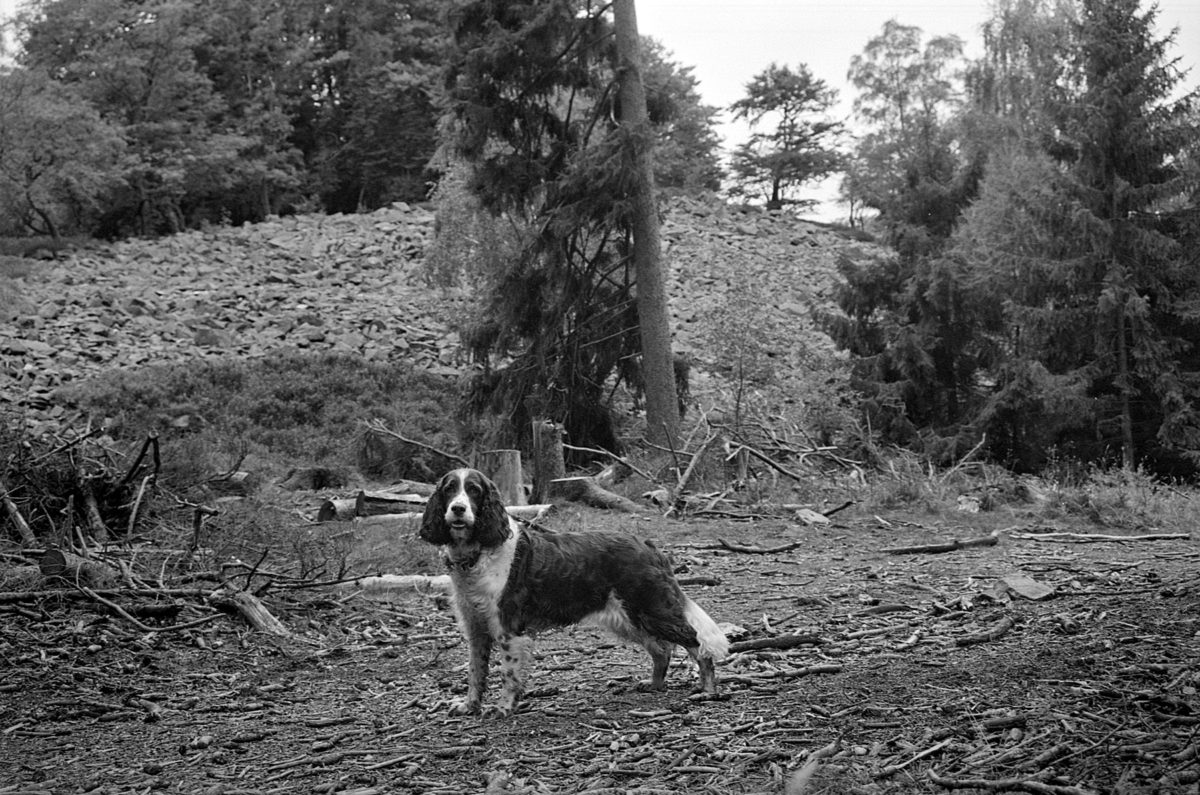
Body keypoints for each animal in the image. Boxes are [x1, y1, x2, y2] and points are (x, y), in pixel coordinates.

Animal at [417, 470, 724, 720]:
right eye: (449, 489)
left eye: (474, 490)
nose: (458, 509)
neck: (478, 553)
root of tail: (648, 545)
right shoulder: (476, 628)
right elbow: (475, 672)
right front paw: (470, 706)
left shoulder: (508, 629)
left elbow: (508, 674)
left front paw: (503, 708)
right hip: (630, 617)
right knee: (662, 650)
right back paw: (654, 685)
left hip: (652, 610)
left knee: (695, 642)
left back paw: (708, 689)